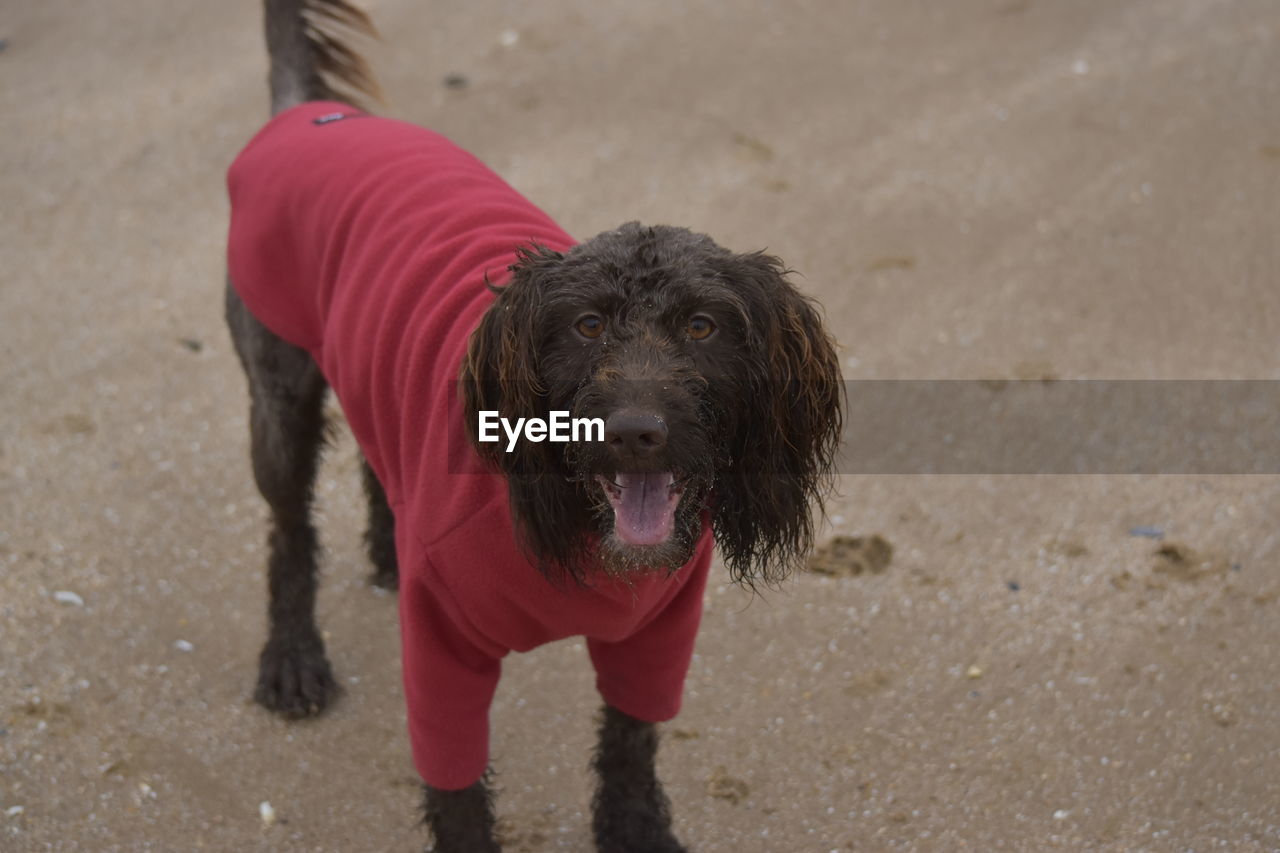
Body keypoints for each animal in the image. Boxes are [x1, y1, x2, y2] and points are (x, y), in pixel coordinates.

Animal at [222, 0, 839, 845]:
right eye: (585, 324)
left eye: (703, 325)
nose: (636, 431)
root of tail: (306, 115)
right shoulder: (441, 649)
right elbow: (455, 786)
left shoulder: (657, 634)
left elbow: (630, 739)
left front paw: (635, 825)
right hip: (278, 402)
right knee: (288, 529)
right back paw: (290, 657)